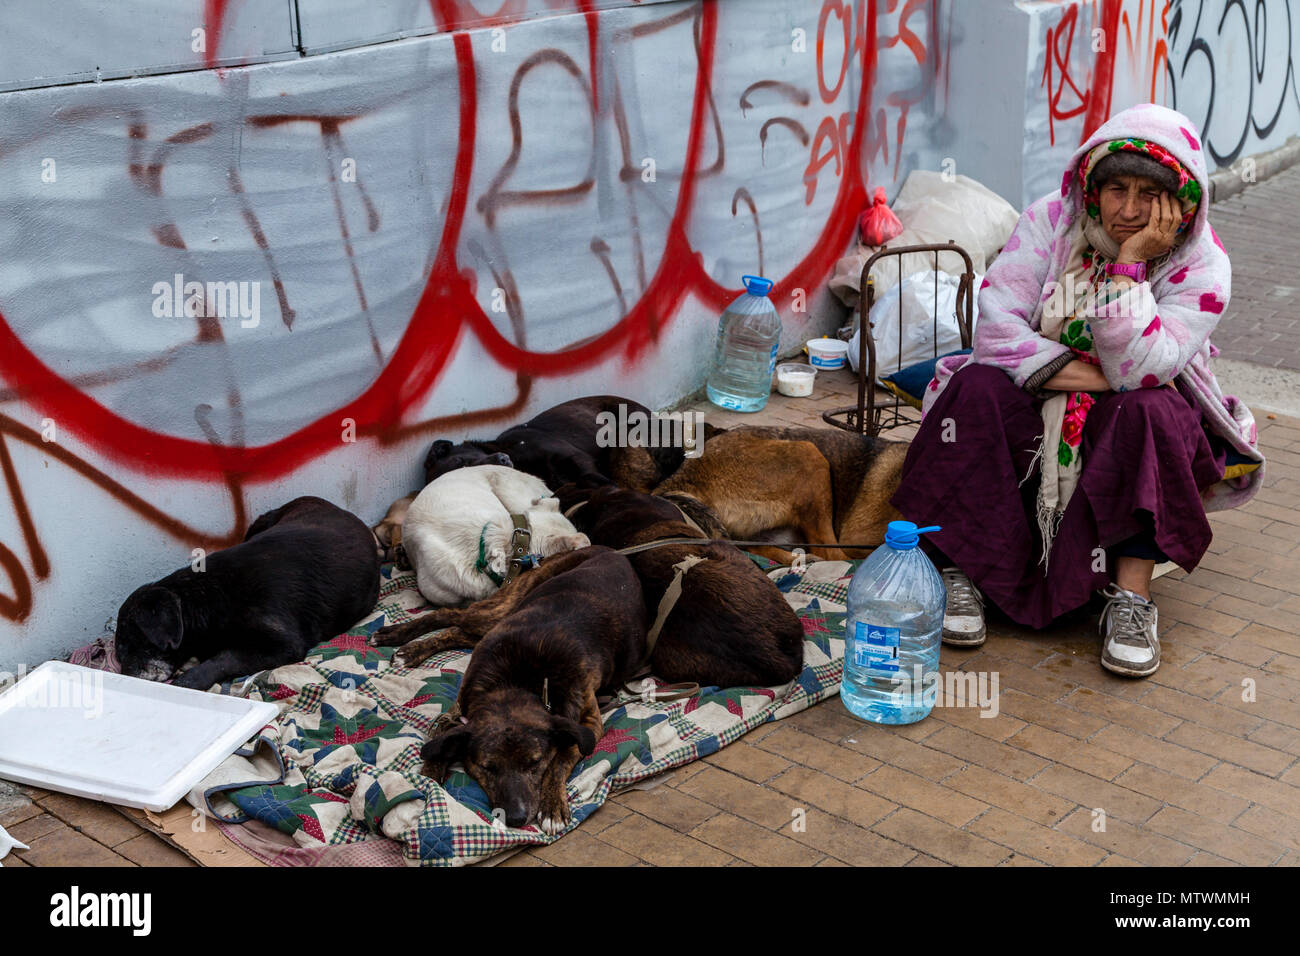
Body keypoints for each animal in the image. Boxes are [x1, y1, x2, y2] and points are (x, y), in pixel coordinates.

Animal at [113, 496, 379, 691]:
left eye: (127, 645)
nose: (125, 677)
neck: (206, 600)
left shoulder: (283, 645)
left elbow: (226, 658)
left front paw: (190, 679)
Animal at [371, 548, 644, 832]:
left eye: (535, 763)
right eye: (488, 767)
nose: (516, 818)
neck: (519, 683)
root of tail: (607, 549)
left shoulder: (588, 724)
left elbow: (562, 756)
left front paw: (552, 806)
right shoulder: (461, 707)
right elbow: (441, 744)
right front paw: (428, 781)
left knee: (456, 630)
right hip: (498, 609)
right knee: (448, 615)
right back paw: (400, 641)